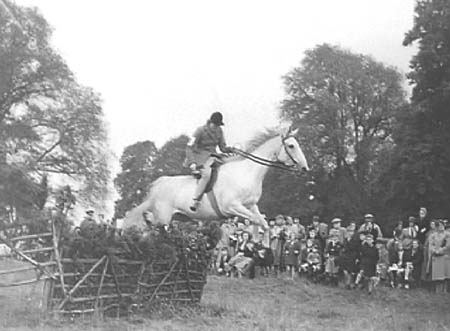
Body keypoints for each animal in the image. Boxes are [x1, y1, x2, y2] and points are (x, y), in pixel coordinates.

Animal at [125, 127, 312, 231]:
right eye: (291, 146)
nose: (305, 169)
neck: (247, 173)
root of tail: (159, 183)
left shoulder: (251, 205)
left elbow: (262, 223)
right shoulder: (232, 207)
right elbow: (255, 221)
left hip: (172, 218)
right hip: (163, 218)